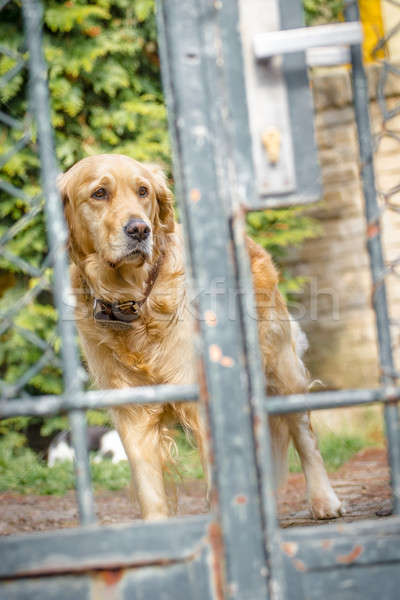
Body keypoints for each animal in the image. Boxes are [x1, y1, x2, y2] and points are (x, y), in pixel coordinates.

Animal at [57, 154, 342, 520]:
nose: (139, 230)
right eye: (99, 193)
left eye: (143, 191)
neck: (134, 300)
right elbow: (150, 489)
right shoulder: (132, 413)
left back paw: (324, 500)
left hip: (281, 365)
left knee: (306, 436)